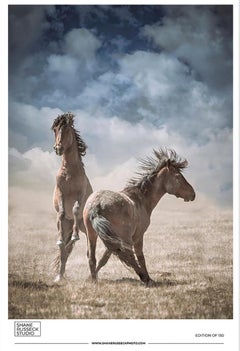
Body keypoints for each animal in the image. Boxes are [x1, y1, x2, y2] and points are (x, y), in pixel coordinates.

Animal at [83, 150, 196, 288]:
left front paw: (90, 278)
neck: (141, 199)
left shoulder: (111, 239)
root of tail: (97, 204)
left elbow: (104, 257)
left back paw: (94, 279)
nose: (193, 194)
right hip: (124, 238)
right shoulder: (138, 236)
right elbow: (140, 257)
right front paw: (148, 278)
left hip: (92, 235)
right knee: (129, 256)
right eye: (178, 176)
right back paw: (144, 277)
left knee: (92, 257)